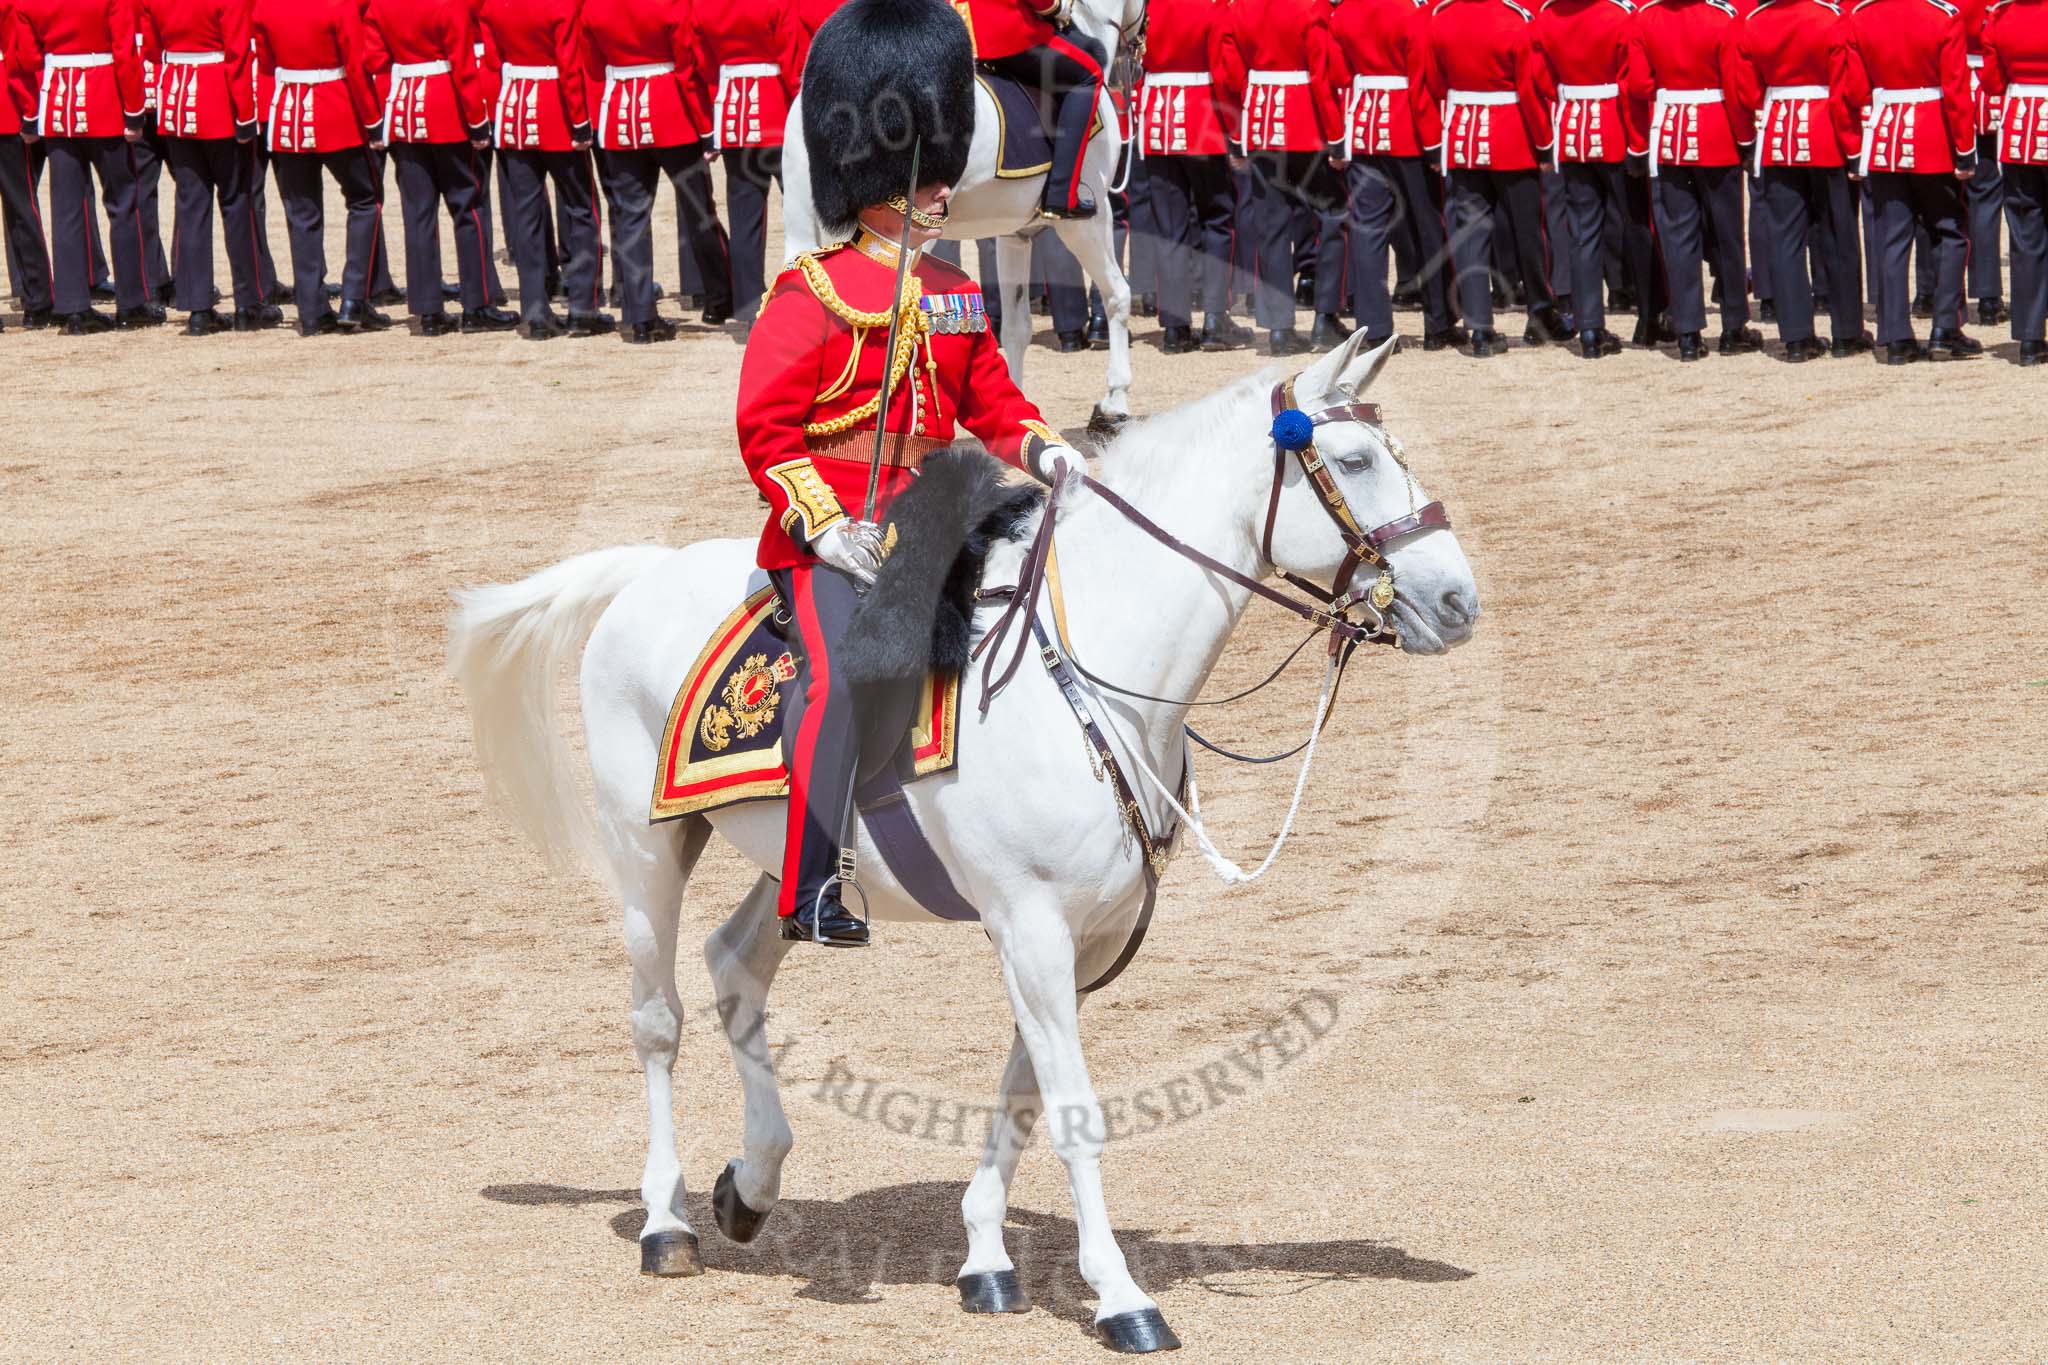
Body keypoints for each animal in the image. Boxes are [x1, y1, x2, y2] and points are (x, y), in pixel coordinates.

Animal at [446, 329, 1480, 1353]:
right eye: (1353, 460)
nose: (1458, 600)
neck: (1094, 667)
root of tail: (647, 572)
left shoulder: (1081, 937)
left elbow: (1025, 1090)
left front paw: (986, 1256)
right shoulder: (1031, 924)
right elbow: (1074, 1111)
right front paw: (1120, 1295)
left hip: (794, 863)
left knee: (735, 961)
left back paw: (753, 1182)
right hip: (647, 847)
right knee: (657, 1018)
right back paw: (668, 1221)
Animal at [778, 0, 1148, 431]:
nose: (1138, 56)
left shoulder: (1014, 236)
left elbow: (1017, 327)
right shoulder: (1088, 218)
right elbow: (1117, 294)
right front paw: (1114, 402)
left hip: (802, 225)